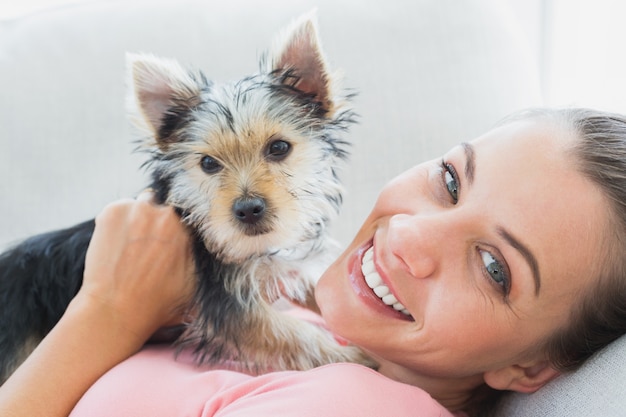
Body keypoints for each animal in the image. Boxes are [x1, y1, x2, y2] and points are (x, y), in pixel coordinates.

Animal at [0, 13, 370, 384]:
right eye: (207, 164)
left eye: (279, 148)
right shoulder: (230, 307)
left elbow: (317, 287)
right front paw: (358, 358)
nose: (248, 209)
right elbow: (292, 334)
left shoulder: (283, 265)